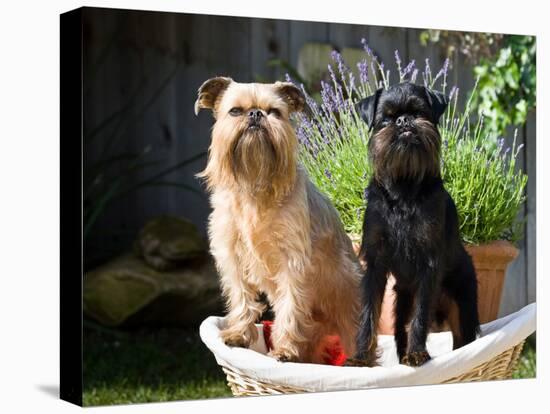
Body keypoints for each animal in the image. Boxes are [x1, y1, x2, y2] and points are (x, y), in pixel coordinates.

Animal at [196, 78, 364, 362]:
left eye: (274, 112)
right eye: (235, 111)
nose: (256, 114)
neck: (255, 184)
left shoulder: (292, 262)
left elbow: (290, 305)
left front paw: (284, 349)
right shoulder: (232, 255)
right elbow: (241, 297)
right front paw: (238, 334)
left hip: (349, 306)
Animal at [352, 82, 480, 368]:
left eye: (419, 112)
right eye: (386, 119)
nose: (403, 121)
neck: (404, 186)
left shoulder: (428, 264)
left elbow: (420, 316)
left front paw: (417, 353)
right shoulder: (375, 263)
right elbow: (368, 312)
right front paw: (361, 357)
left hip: (463, 299)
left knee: (463, 338)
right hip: (402, 298)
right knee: (401, 326)